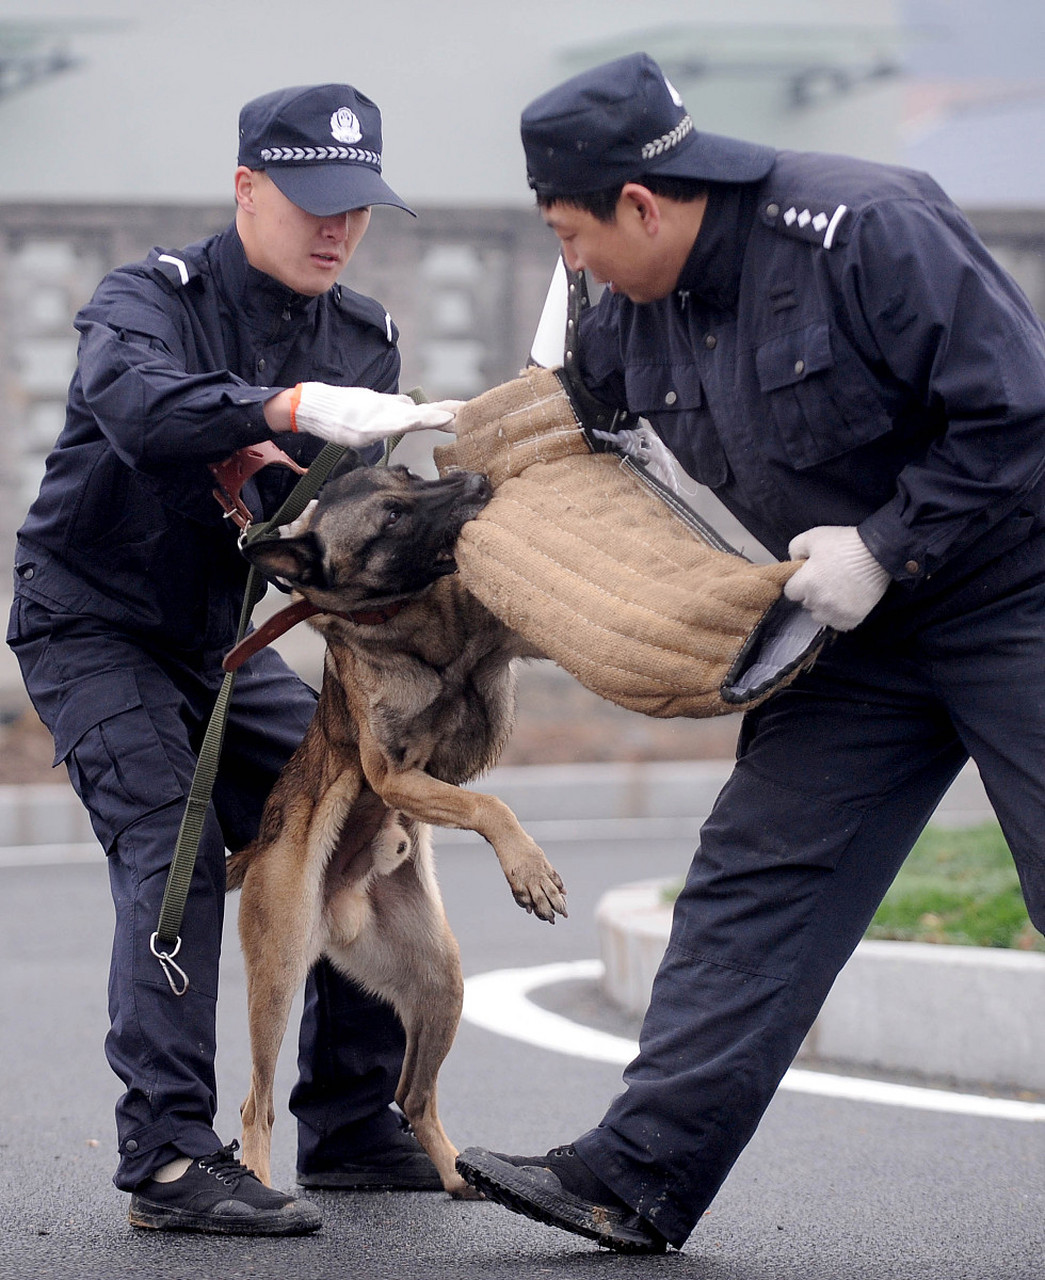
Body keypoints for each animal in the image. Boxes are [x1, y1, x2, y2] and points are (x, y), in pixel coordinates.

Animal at [225, 458, 568, 1198]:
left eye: (408, 475)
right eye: (391, 516)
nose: (472, 480)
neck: (409, 617)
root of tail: (340, 910)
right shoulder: (395, 776)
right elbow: (489, 807)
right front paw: (528, 870)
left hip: (444, 982)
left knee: (414, 1096)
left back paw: (461, 1175)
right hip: (277, 980)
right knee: (256, 1102)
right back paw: (259, 1184)